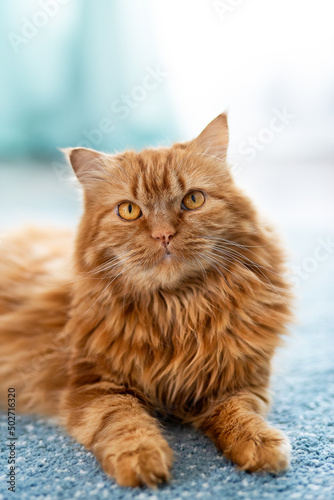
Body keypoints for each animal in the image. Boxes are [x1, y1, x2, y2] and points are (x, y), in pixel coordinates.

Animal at [0, 114, 292, 488]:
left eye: (193, 200)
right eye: (129, 210)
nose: (164, 234)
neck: (178, 308)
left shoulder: (238, 381)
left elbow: (239, 413)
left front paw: (259, 443)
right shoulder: (94, 386)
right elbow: (124, 421)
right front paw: (142, 458)